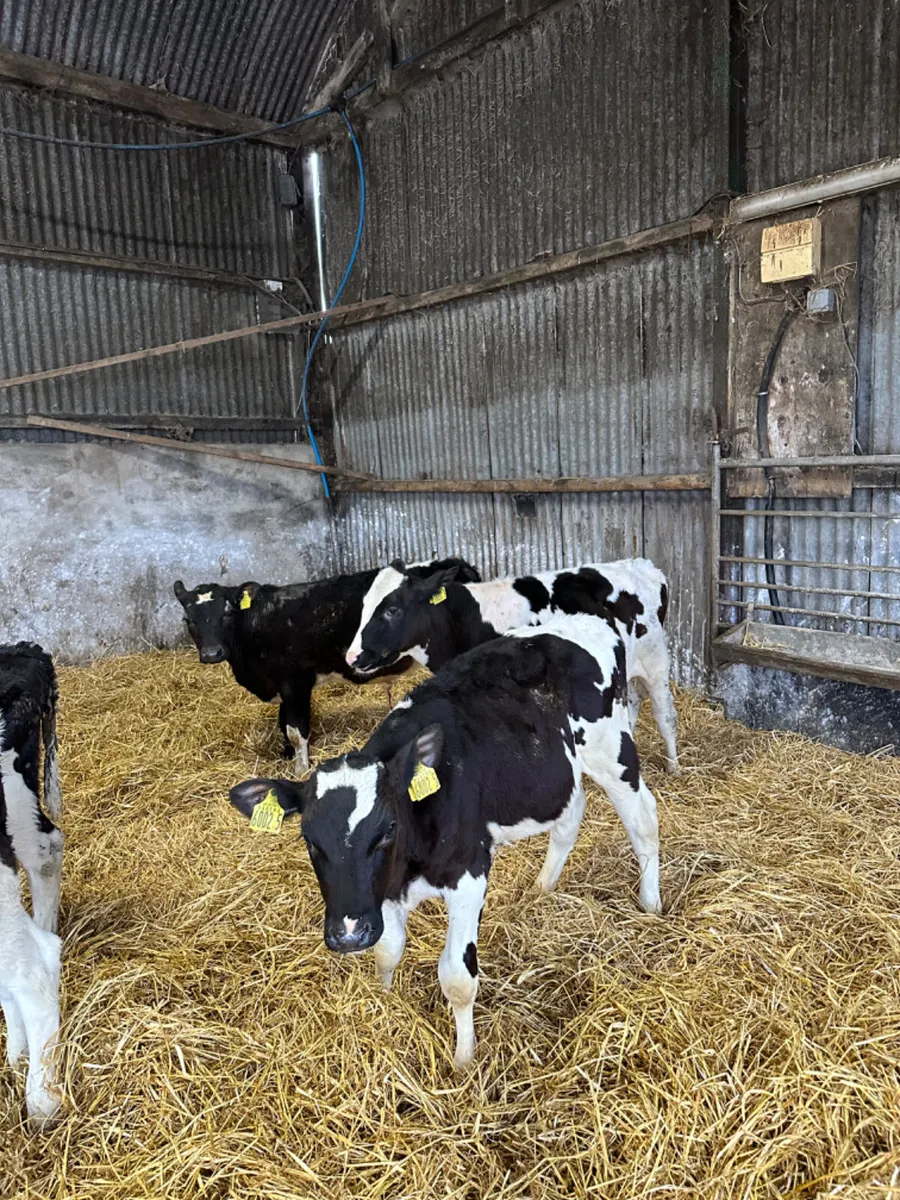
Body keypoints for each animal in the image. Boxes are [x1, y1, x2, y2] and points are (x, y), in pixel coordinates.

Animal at [174, 558, 480, 773]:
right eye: (189, 620)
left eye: (226, 614)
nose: (212, 653)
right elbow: (283, 724)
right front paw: (287, 756)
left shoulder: (295, 682)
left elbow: (296, 730)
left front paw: (300, 769)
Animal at [229, 612, 661, 1069]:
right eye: (309, 840)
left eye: (387, 830)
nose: (348, 935)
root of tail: (588, 621)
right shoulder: (381, 891)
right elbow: (388, 950)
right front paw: (385, 1003)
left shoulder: (468, 875)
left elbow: (456, 976)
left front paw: (463, 1061)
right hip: (557, 772)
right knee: (571, 814)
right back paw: (542, 888)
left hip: (612, 752)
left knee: (644, 820)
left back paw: (650, 902)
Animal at [344, 557, 680, 774]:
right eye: (364, 605)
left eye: (391, 609)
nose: (351, 657)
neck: (464, 617)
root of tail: (645, 566)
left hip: (656, 661)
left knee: (665, 715)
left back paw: (674, 767)